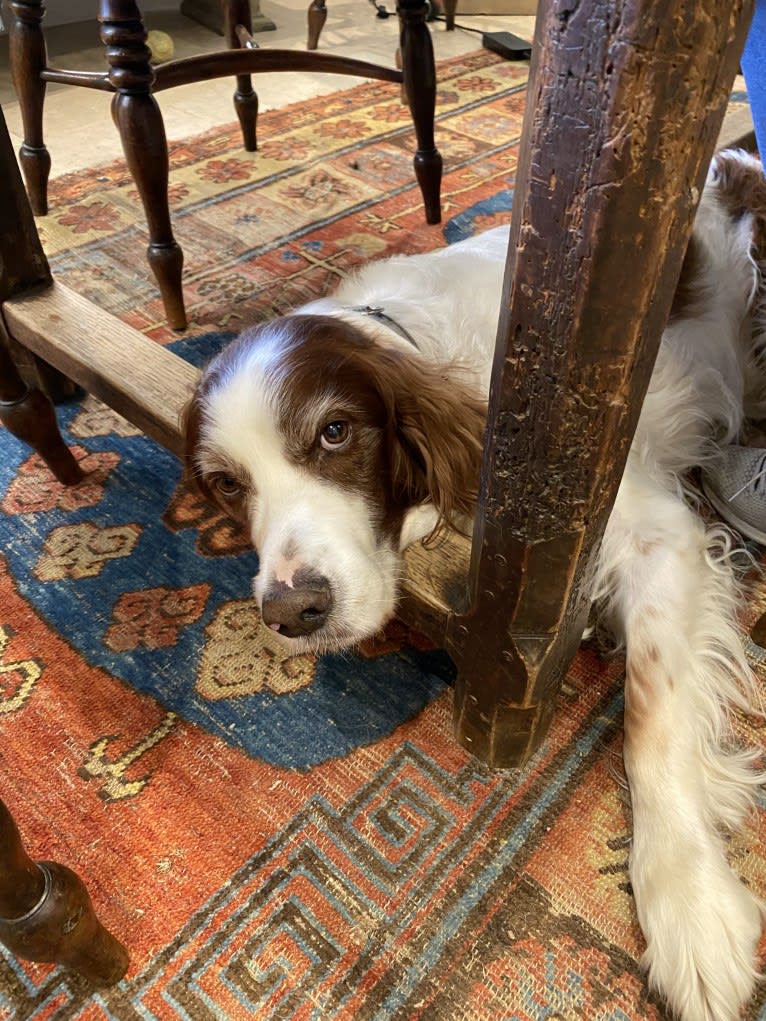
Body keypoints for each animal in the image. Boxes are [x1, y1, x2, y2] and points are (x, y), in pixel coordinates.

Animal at [184, 149, 766, 1021]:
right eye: (226, 484)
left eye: (335, 432)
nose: (293, 610)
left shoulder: (651, 533)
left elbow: (652, 714)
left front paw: (689, 901)